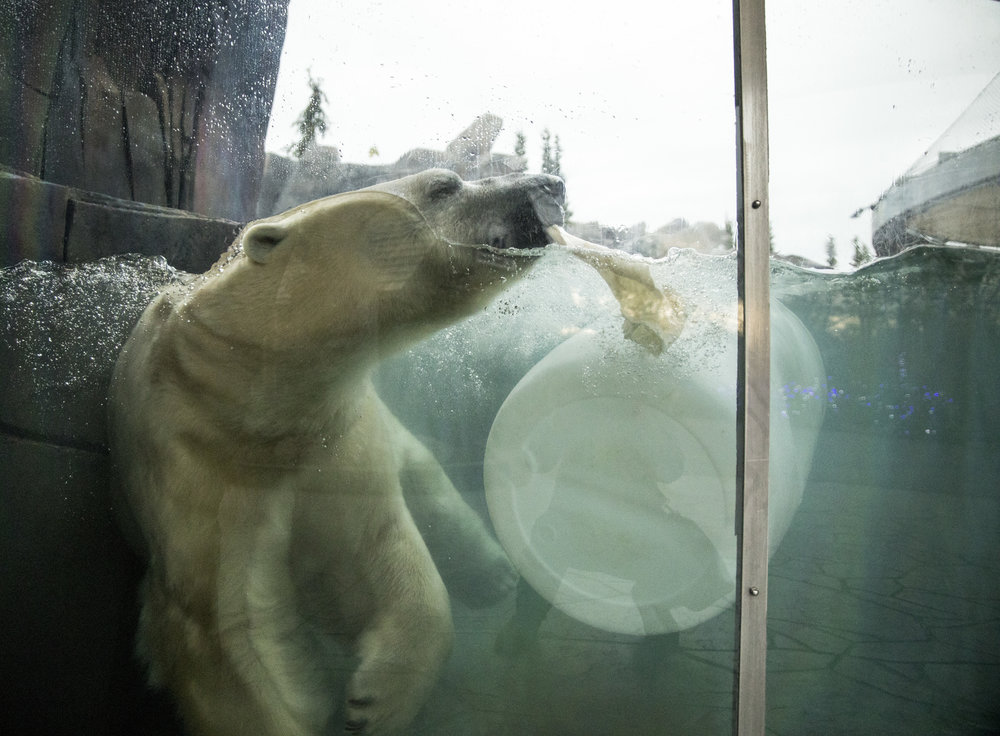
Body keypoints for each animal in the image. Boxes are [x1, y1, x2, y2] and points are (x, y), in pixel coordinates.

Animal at [109, 170, 568, 732]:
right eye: (444, 185)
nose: (550, 183)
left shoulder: (338, 439)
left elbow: (377, 551)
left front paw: (375, 705)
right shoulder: (198, 464)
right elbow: (226, 629)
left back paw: (494, 574)